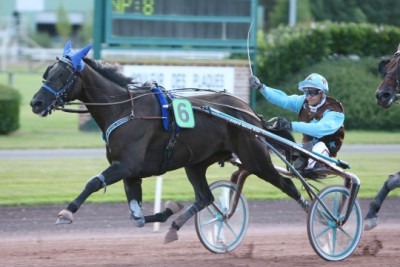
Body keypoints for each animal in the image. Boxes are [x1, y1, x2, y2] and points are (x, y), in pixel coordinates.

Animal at [30, 41, 306, 243]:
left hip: (255, 158)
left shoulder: (126, 165)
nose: (36, 102)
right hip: (196, 163)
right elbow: (137, 216)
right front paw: (169, 209)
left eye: (62, 74)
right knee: (205, 198)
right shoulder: (131, 173)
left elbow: (93, 182)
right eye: (47, 73)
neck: (124, 110)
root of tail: (249, 113)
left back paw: (314, 214)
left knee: (289, 186)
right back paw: (175, 226)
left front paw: (67, 211)